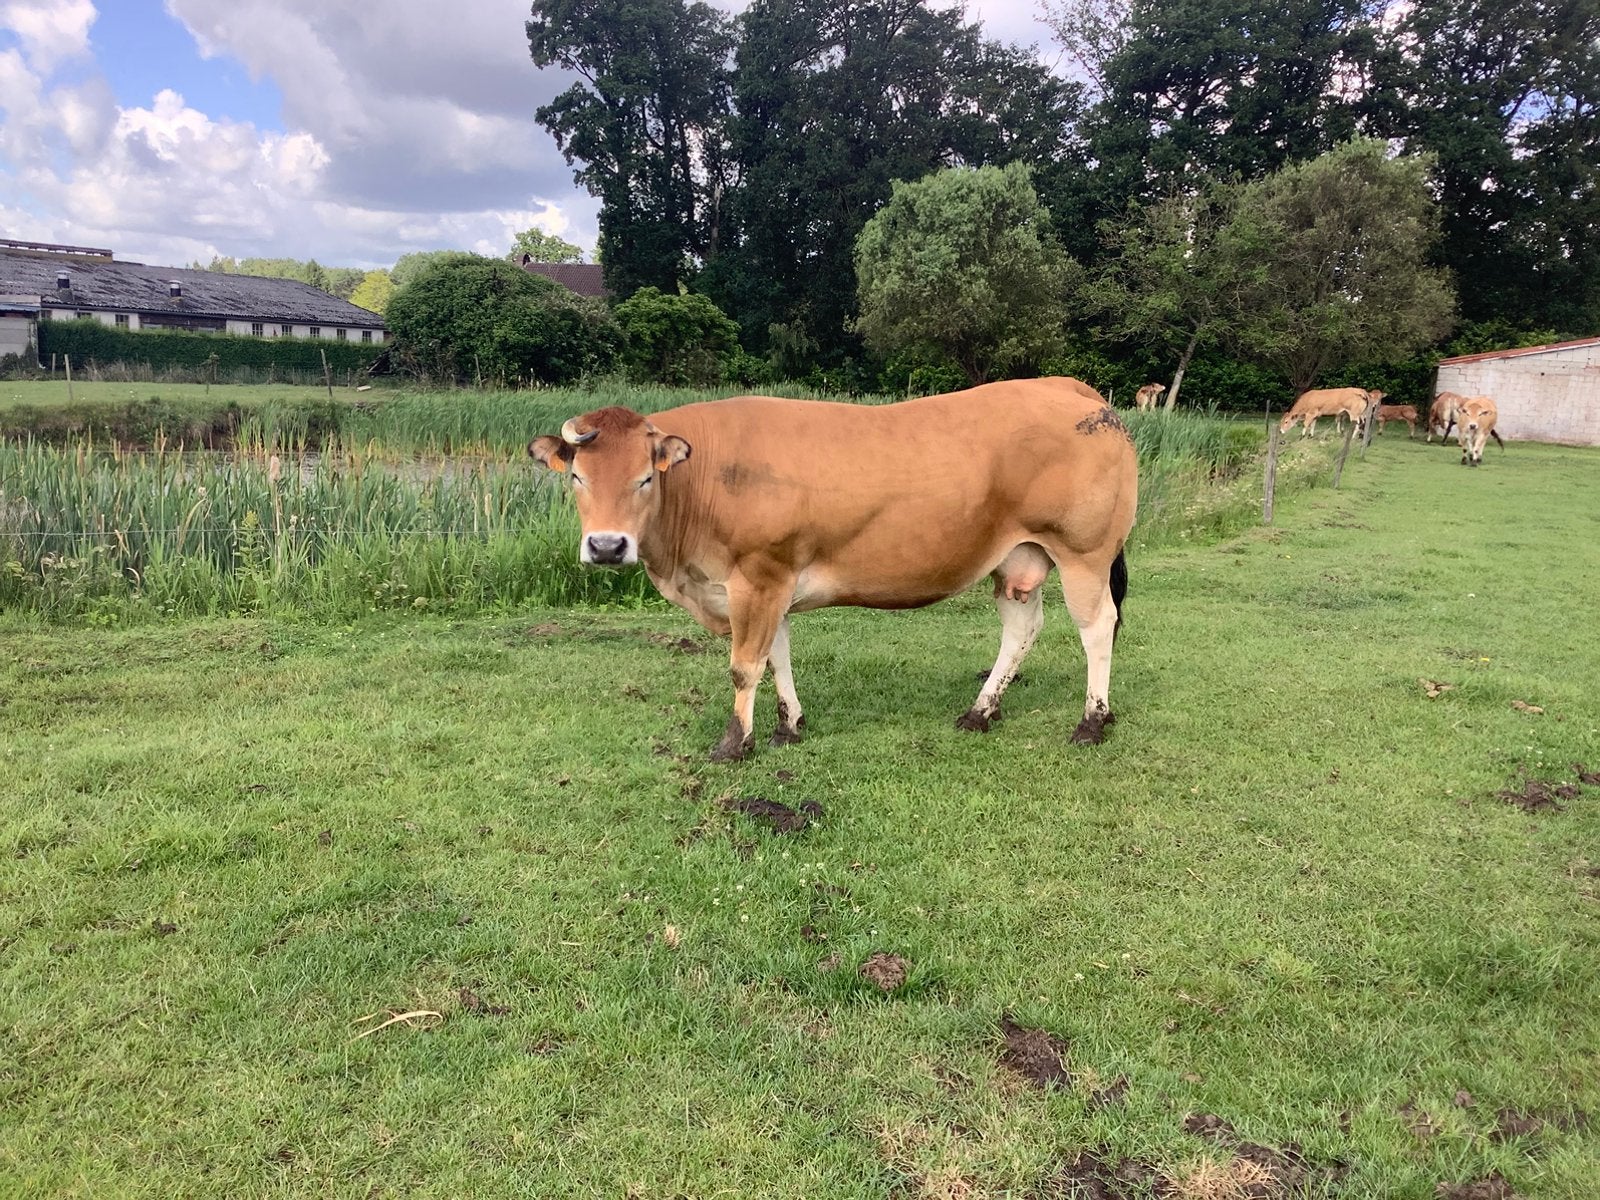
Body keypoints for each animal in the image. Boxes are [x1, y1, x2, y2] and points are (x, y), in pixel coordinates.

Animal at [528, 378, 1139, 761]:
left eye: (644, 479)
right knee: (1021, 628)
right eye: (578, 478)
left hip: (1084, 553)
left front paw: (734, 743)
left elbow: (744, 666)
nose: (608, 546)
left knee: (1096, 628)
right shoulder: (771, 583)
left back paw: (1092, 720)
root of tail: (1066, 386)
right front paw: (788, 726)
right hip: (1018, 558)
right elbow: (777, 658)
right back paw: (980, 711)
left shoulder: (758, 576)